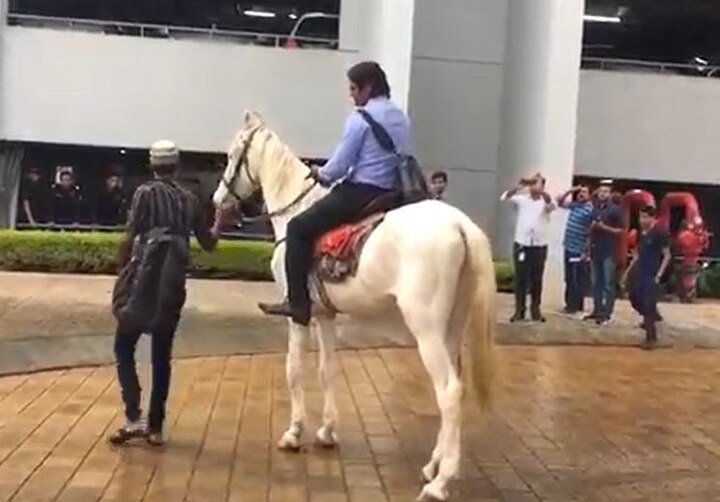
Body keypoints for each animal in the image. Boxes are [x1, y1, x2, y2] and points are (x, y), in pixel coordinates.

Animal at [212, 111, 496, 502]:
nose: (217, 199)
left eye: (232, 154)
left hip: (426, 328)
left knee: (449, 392)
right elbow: (327, 371)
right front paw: (327, 432)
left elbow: (294, 370)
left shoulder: (299, 315)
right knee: (453, 389)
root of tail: (459, 223)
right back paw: (432, 466)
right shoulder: (326, 315)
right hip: (451, 327)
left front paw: (294, 433)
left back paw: (439, 483)